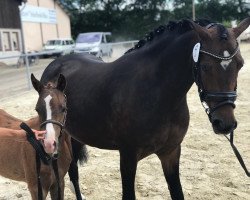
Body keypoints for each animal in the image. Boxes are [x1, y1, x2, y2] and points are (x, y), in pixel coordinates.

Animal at [40, 18, 249, 199]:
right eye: (205, 66)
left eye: (240, 64)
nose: (225, 123)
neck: (157, 93)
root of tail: (56, 63)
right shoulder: (128, 157)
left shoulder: (171, 153)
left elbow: (177, 193)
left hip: (77, 135)